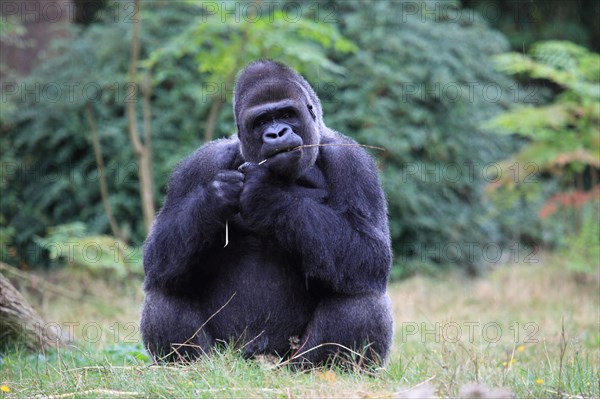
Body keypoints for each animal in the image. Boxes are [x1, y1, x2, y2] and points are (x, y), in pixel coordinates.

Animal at [141, 58, 394, 366]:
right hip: (226, 353)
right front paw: (214, 199)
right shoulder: (200, 163)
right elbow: (157, 256)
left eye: (287, 114)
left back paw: (328, 369)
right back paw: (190, 366)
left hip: (292, 361)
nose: (276, 133)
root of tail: (261, 361)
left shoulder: (353, 161)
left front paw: (266, 196)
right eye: (261, 121)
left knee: (361, 297)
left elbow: (371, 255)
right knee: (166, 285)